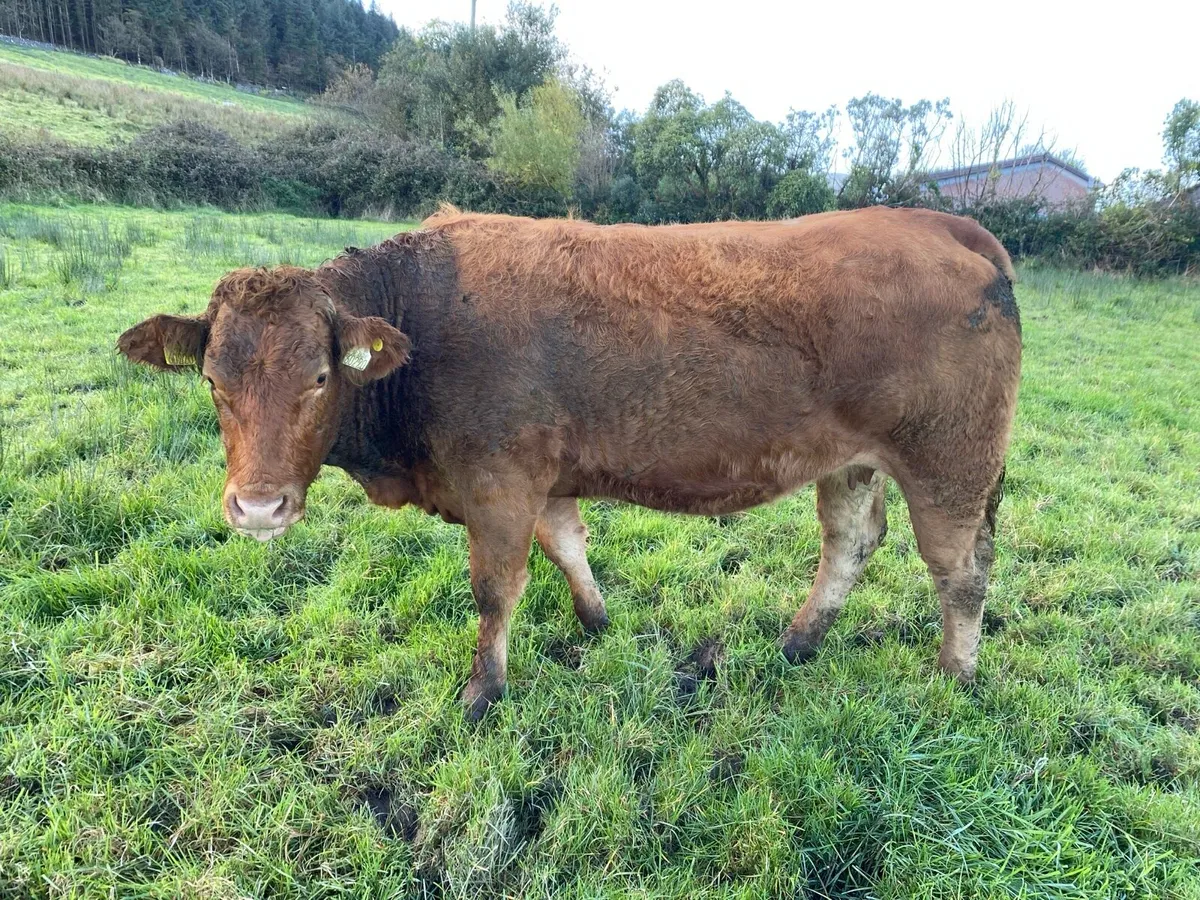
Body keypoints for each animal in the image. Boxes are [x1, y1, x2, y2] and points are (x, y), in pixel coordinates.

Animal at [117, 205, 1022, 720]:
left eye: (317, 376)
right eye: (212, 380)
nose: (258, 507)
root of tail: (937, 221)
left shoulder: (498, 480)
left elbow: (495, 588)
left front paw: (482, 693)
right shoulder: (540, 475)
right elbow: (567, 545)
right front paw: (597, 621)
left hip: (950, 464)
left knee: (960, 572)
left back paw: (955, 676)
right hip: (851, 459)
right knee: (851, 540)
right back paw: (800, 641)